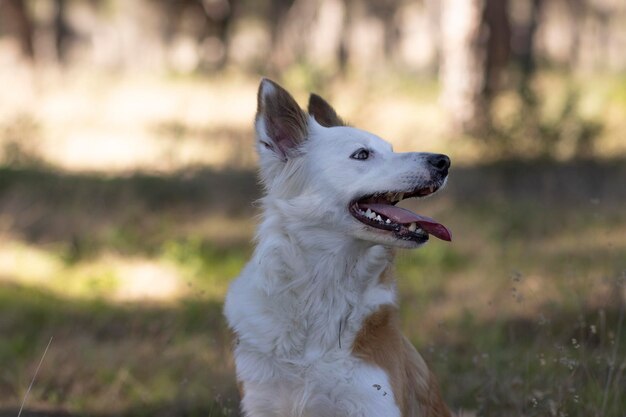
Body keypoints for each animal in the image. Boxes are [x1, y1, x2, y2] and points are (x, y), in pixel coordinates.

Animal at [224, 79, 454, 416]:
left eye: (391, 149)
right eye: (362, 155)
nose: (444, 161)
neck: (322, 292)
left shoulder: (372, 401)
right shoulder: (263, 400)